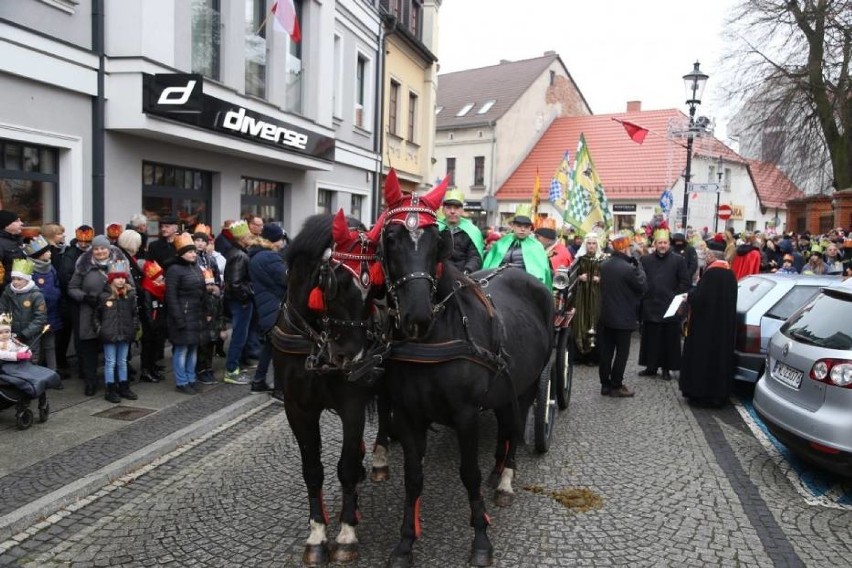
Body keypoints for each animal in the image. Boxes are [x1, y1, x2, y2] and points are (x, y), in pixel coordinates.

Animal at [272, 211, 392, 564]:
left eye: (375, 286)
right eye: (333, 283)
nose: (355, 359)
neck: (318, 344)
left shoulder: (352, 405)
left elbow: (347, 467)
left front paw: (346, 534)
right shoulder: (297, 409)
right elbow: (312, 469)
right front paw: (316, 535)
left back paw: (379, 458)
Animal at [378, 171, 552, 564]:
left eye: (434, 239)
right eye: (391, 237)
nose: (417, 316)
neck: (432, 340)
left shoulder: (466, 414)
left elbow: (468, 473)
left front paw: (481, 540)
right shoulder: (407, 414)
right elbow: (413, 476)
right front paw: (405, 542)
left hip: (529, 382)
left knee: (515, 425)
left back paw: (506, 479)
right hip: (504, 388)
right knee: (505, 426)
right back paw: (498, 470)